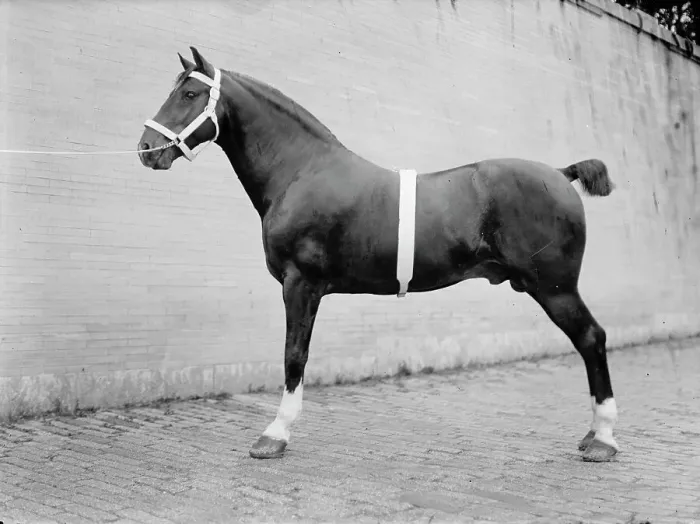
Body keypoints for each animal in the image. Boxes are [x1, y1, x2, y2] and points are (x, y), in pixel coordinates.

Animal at [138, 47, 619, 463]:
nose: (146, 149)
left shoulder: (301, 284)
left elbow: (294, 356)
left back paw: (604, 439)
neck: (301, 171)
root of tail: (560, 173)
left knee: (591, 339)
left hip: (555, 287)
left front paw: (274, 435)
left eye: (189, 93)